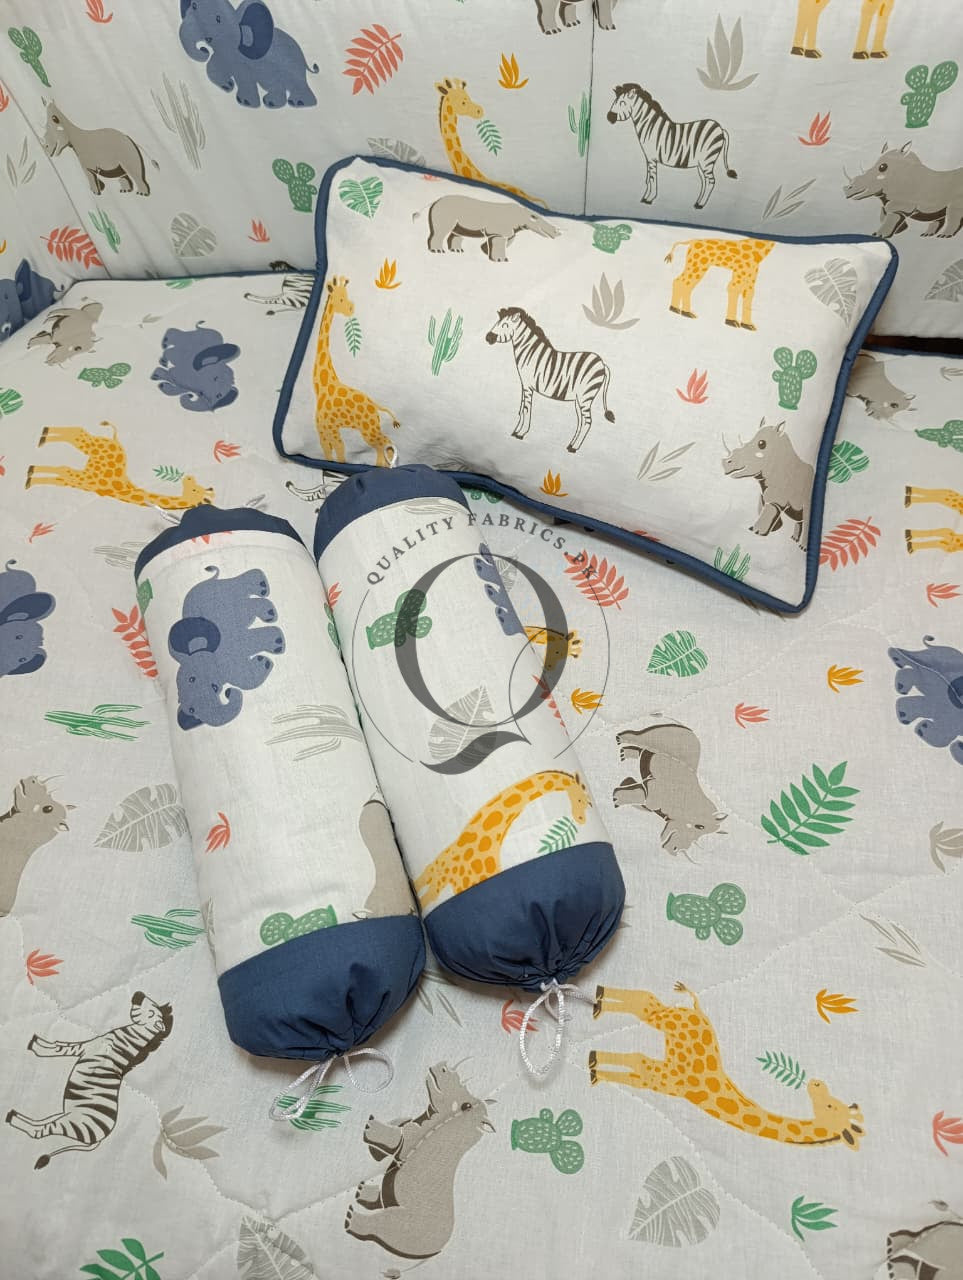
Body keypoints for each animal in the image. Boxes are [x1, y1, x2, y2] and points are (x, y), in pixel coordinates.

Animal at [168, 566, 284, 730]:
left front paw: (276, 644)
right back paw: (268, 611)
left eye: (192, 679)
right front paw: (264, 661)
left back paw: (261, 586)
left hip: (223, 592)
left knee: (239, 593)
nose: (228, 692)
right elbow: (244, 676)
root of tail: (203, 584)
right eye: (191, 711)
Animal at [178, 0, 319, 108]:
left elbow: (243, 76)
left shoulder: (241, 59)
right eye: (193, 5)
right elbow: (212, 67)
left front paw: (245, 102)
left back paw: (298, 102)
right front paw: (228, 86)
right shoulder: (224, 54)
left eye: (218, 19)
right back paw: (271, 102)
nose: (204, 49)